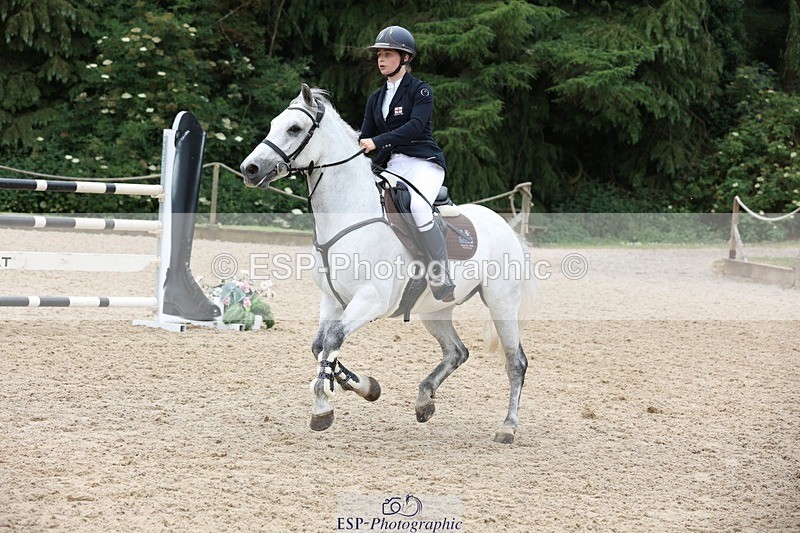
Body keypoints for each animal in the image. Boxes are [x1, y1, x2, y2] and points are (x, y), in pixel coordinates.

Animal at [240, 84, 534, 443]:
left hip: (501, 302)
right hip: (435, 310)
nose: (250, 169)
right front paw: (364, 387)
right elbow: (321, 346)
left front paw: (324, 407)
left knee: (515, 362)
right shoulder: (332, 299)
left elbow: (333, 340)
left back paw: (508, 427)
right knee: (457, 351)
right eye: (273, 124)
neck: (348, 214)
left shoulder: (371, 299)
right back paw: (424, 401)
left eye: (294, 128)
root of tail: (506, 226)